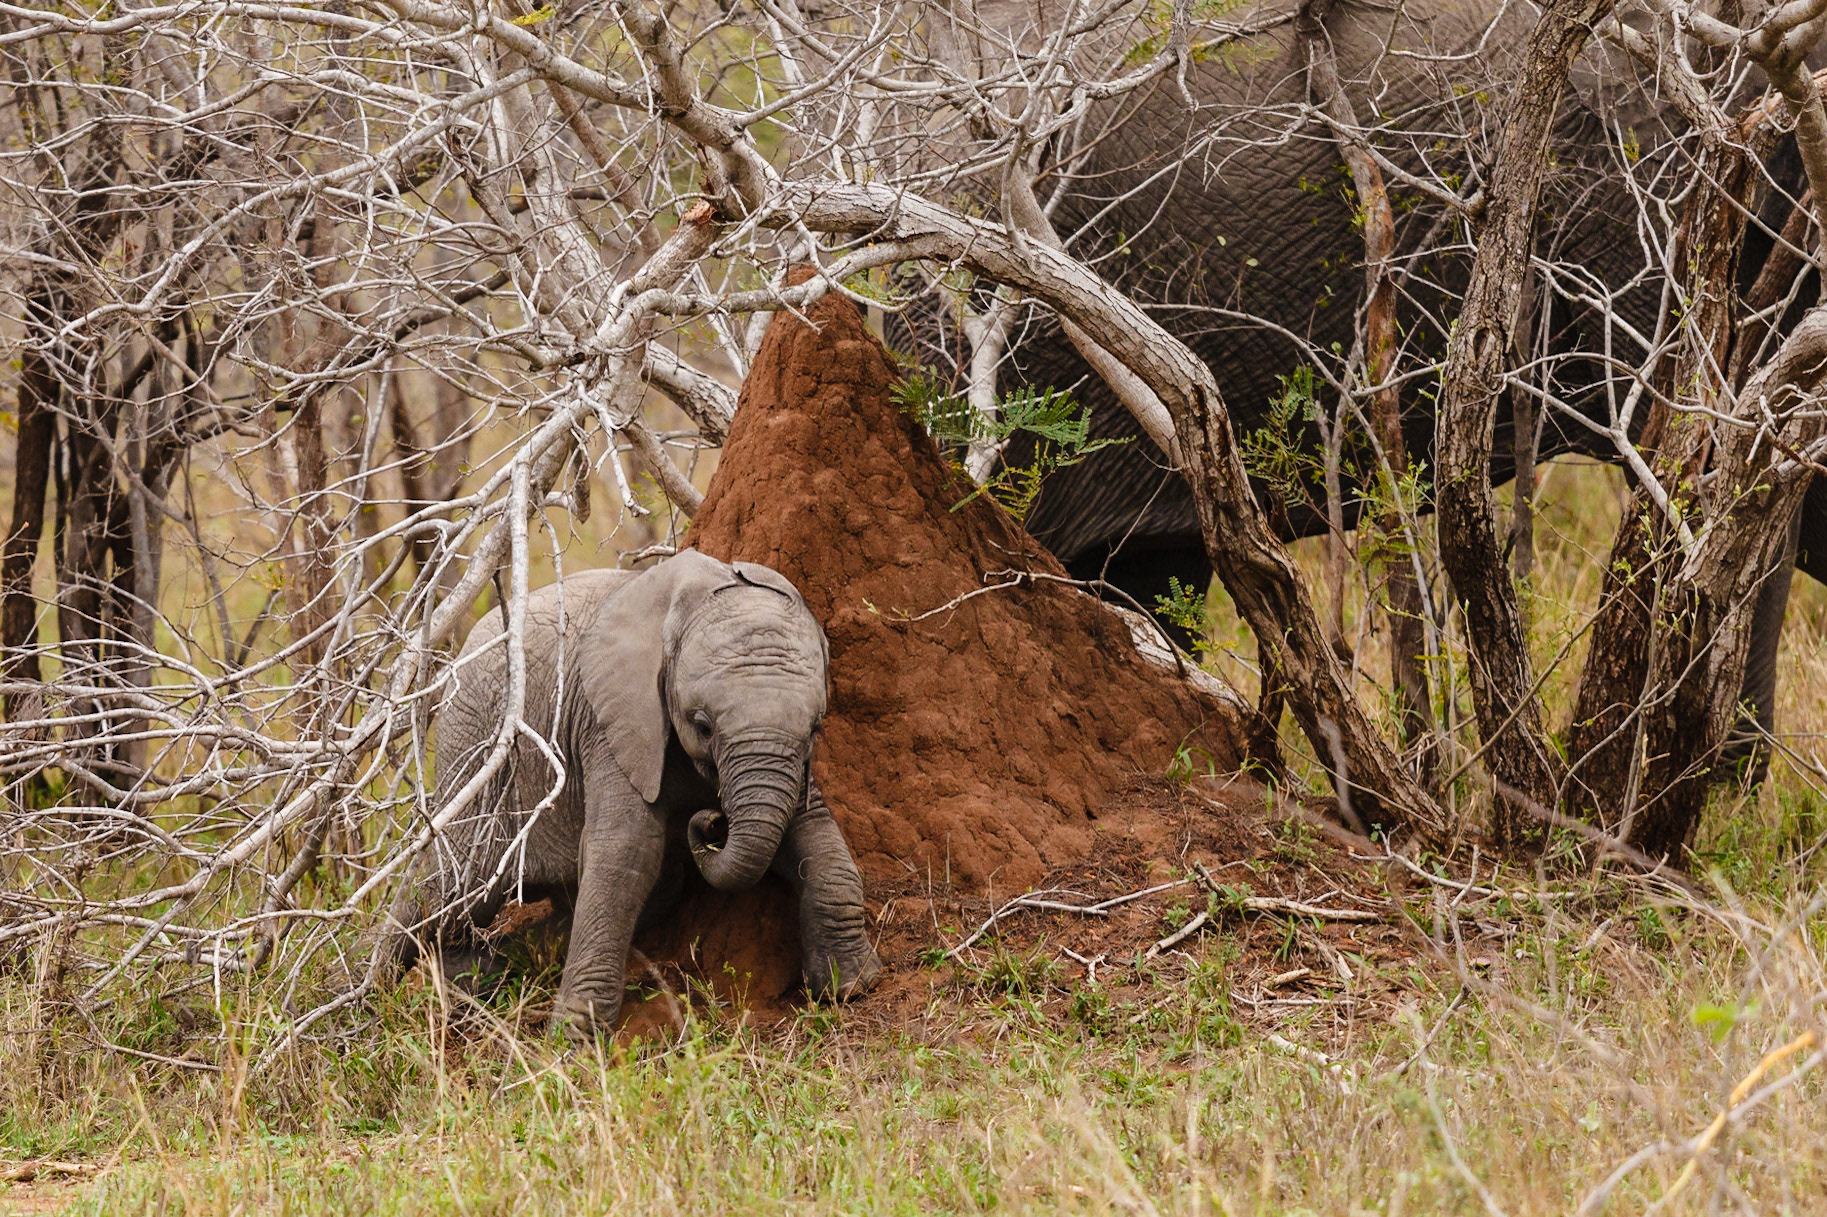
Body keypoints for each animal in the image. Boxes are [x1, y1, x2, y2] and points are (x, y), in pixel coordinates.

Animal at [378, 550, 882, 1035]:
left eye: (816, 728)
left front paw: (852, 984)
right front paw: (576, 1037)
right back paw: (373, 990)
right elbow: (628, 847)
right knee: (450, 887)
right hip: (473, 738)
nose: (711, 820)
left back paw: (479, 974)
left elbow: (813, 827)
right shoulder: (609, 720)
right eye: (703, 725)